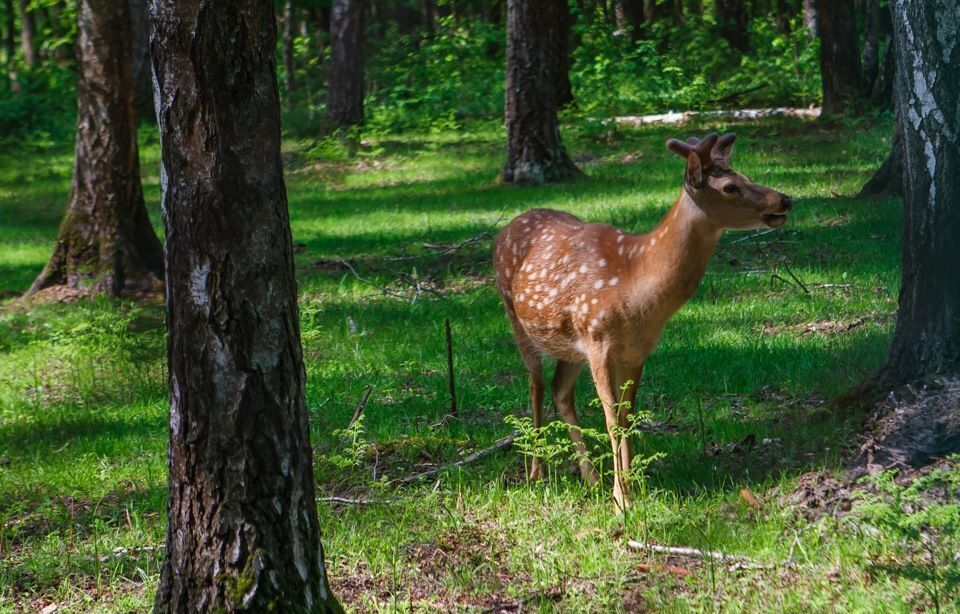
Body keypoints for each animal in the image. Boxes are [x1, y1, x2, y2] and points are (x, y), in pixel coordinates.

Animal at [496, 134, 796, 510]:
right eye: (730, 186)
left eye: (744, 173)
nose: (785, 199)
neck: (636, 288)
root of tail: (505, 228)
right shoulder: (597, 339)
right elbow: (611, 419)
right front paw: (620, 499)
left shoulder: (637, 350)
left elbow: (628, 417)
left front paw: (632, 488)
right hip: (518, 318)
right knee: (535, 385)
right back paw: (536, 472)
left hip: (569, 343)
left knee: (560, 391)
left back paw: (590, 477)